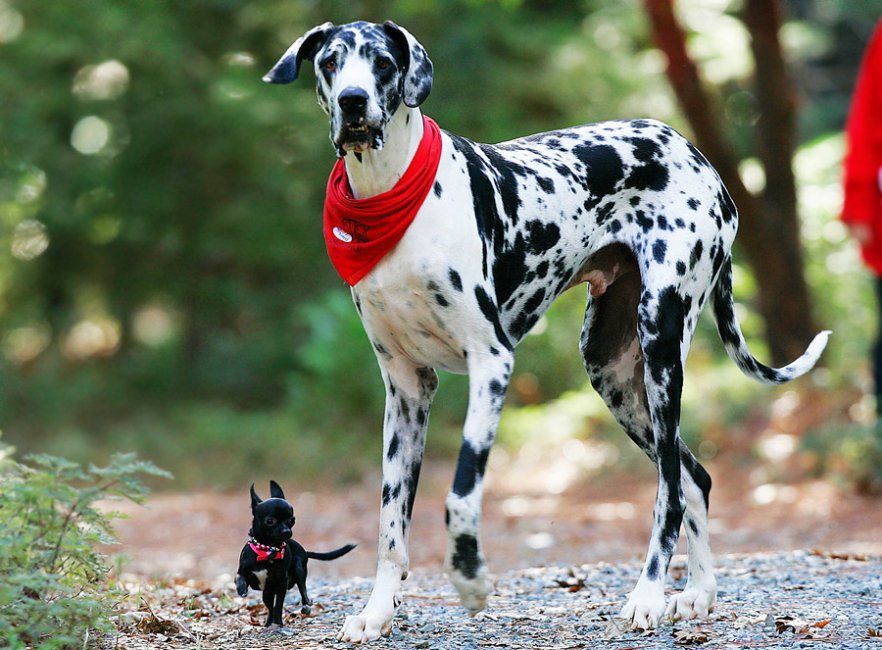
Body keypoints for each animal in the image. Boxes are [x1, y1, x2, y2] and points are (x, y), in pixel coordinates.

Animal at [237, 478, 358, 624]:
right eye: (270, 521)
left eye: (292, 520)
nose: (287, 532)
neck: (268, 551)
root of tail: (304, 551)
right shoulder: (244, 572)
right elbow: (240, 578)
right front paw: (242, 589)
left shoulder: (281, 584)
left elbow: (279, 605)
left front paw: (279, 623)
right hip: (267, 592)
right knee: (270, 606)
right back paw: (268, 623)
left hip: (299, 570)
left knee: (304, 595)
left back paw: (304, 608)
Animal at [262, 19, 824, 636]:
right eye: (331, 62)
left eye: (383, 63)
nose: (353, 101)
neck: (392, 196)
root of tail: (694, 152)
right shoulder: (407, 389)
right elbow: (389, 521)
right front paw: (377, 611)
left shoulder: (491, 364)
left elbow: (460, 495)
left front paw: (470, 580)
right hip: (612, 373)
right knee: (692, 476)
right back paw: (698, 593)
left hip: (660, 349)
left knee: (671, 491)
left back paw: (648, 595)